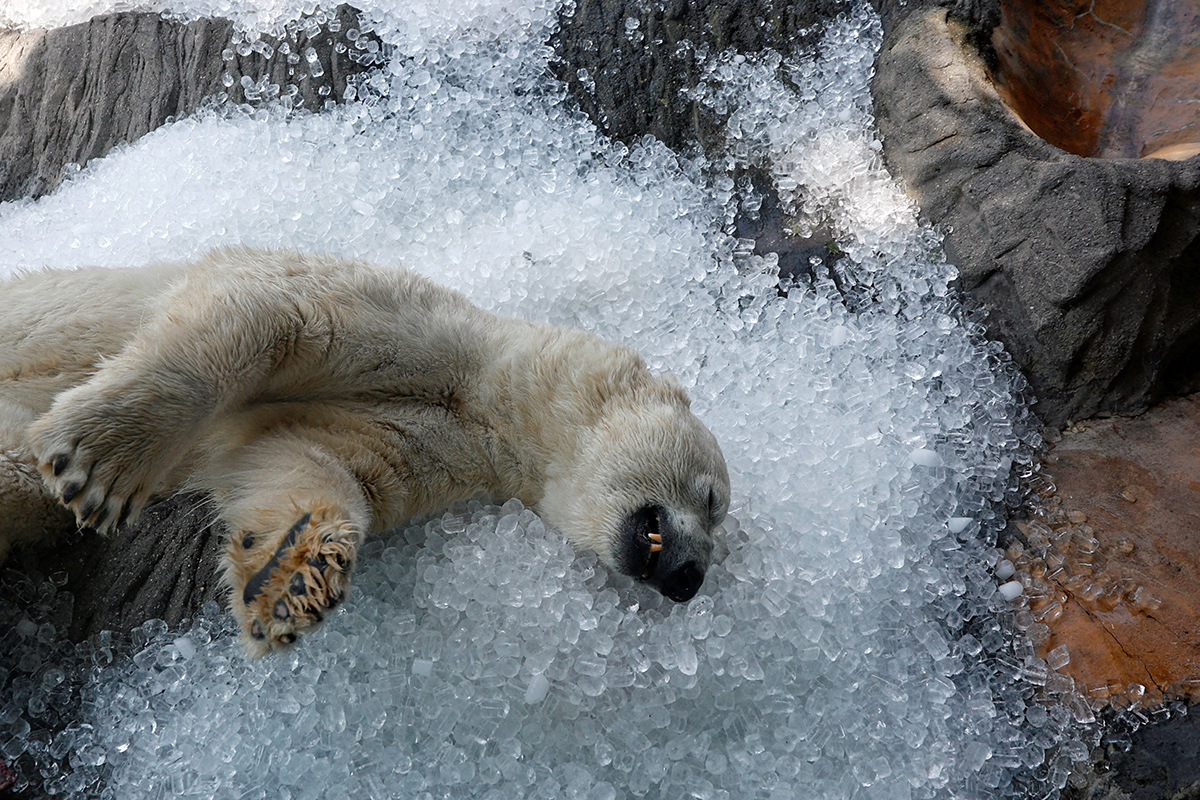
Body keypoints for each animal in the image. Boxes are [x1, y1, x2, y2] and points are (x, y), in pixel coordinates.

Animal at [0, 248, 729, 657]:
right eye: (714, 499)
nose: (690, 578)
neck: (484, 394)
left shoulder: (441, 445)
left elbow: (297, 460)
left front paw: (292, 585)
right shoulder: (413, 318)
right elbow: (266, 308)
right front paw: (99, 460)